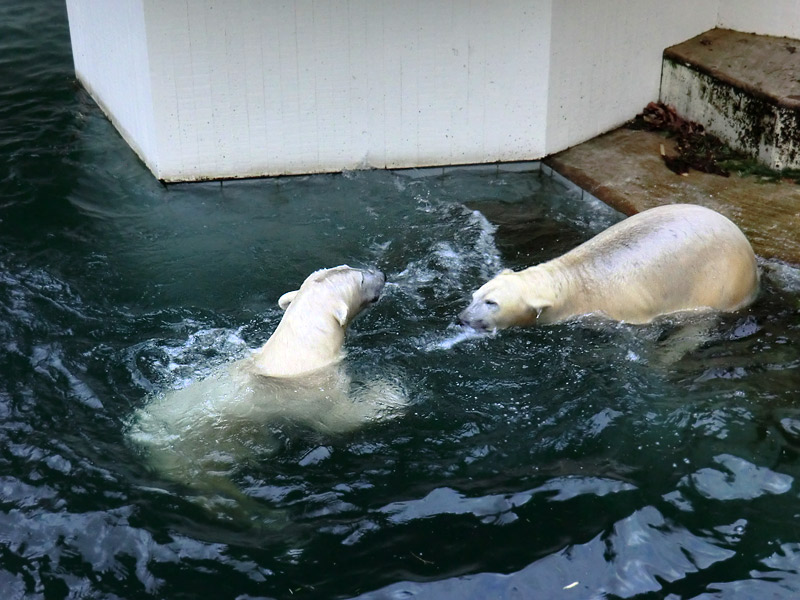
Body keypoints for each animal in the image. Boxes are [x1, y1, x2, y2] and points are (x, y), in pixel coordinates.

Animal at [130, 264, 406, 508]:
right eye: (361, 280)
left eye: (350, 266)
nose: (382, 274)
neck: (297, 352)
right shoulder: (313, 393)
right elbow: (341, 418)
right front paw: (391, 392)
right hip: (192, 454)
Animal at [460, 204, 760, 330]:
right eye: (475, 295)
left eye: (492, 303)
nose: (462, 318)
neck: (572, 281)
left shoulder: (621, 310)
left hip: (720, 279)